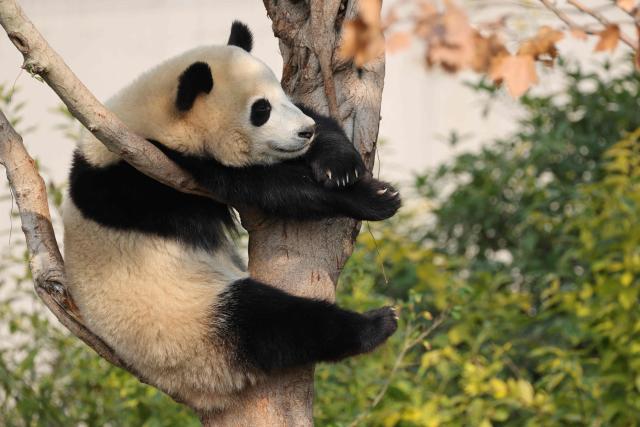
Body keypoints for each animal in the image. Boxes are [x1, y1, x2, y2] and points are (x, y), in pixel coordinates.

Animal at [62, 21, 401, 412]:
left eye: (282, 95)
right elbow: (271, 188)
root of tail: (200, 395)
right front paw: (375, 198)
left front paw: (338, 162)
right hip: (192, 324)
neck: (147, 119)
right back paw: (376, 324)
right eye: (261, 110)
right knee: (275, 322)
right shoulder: (151, 175)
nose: (305, 132)